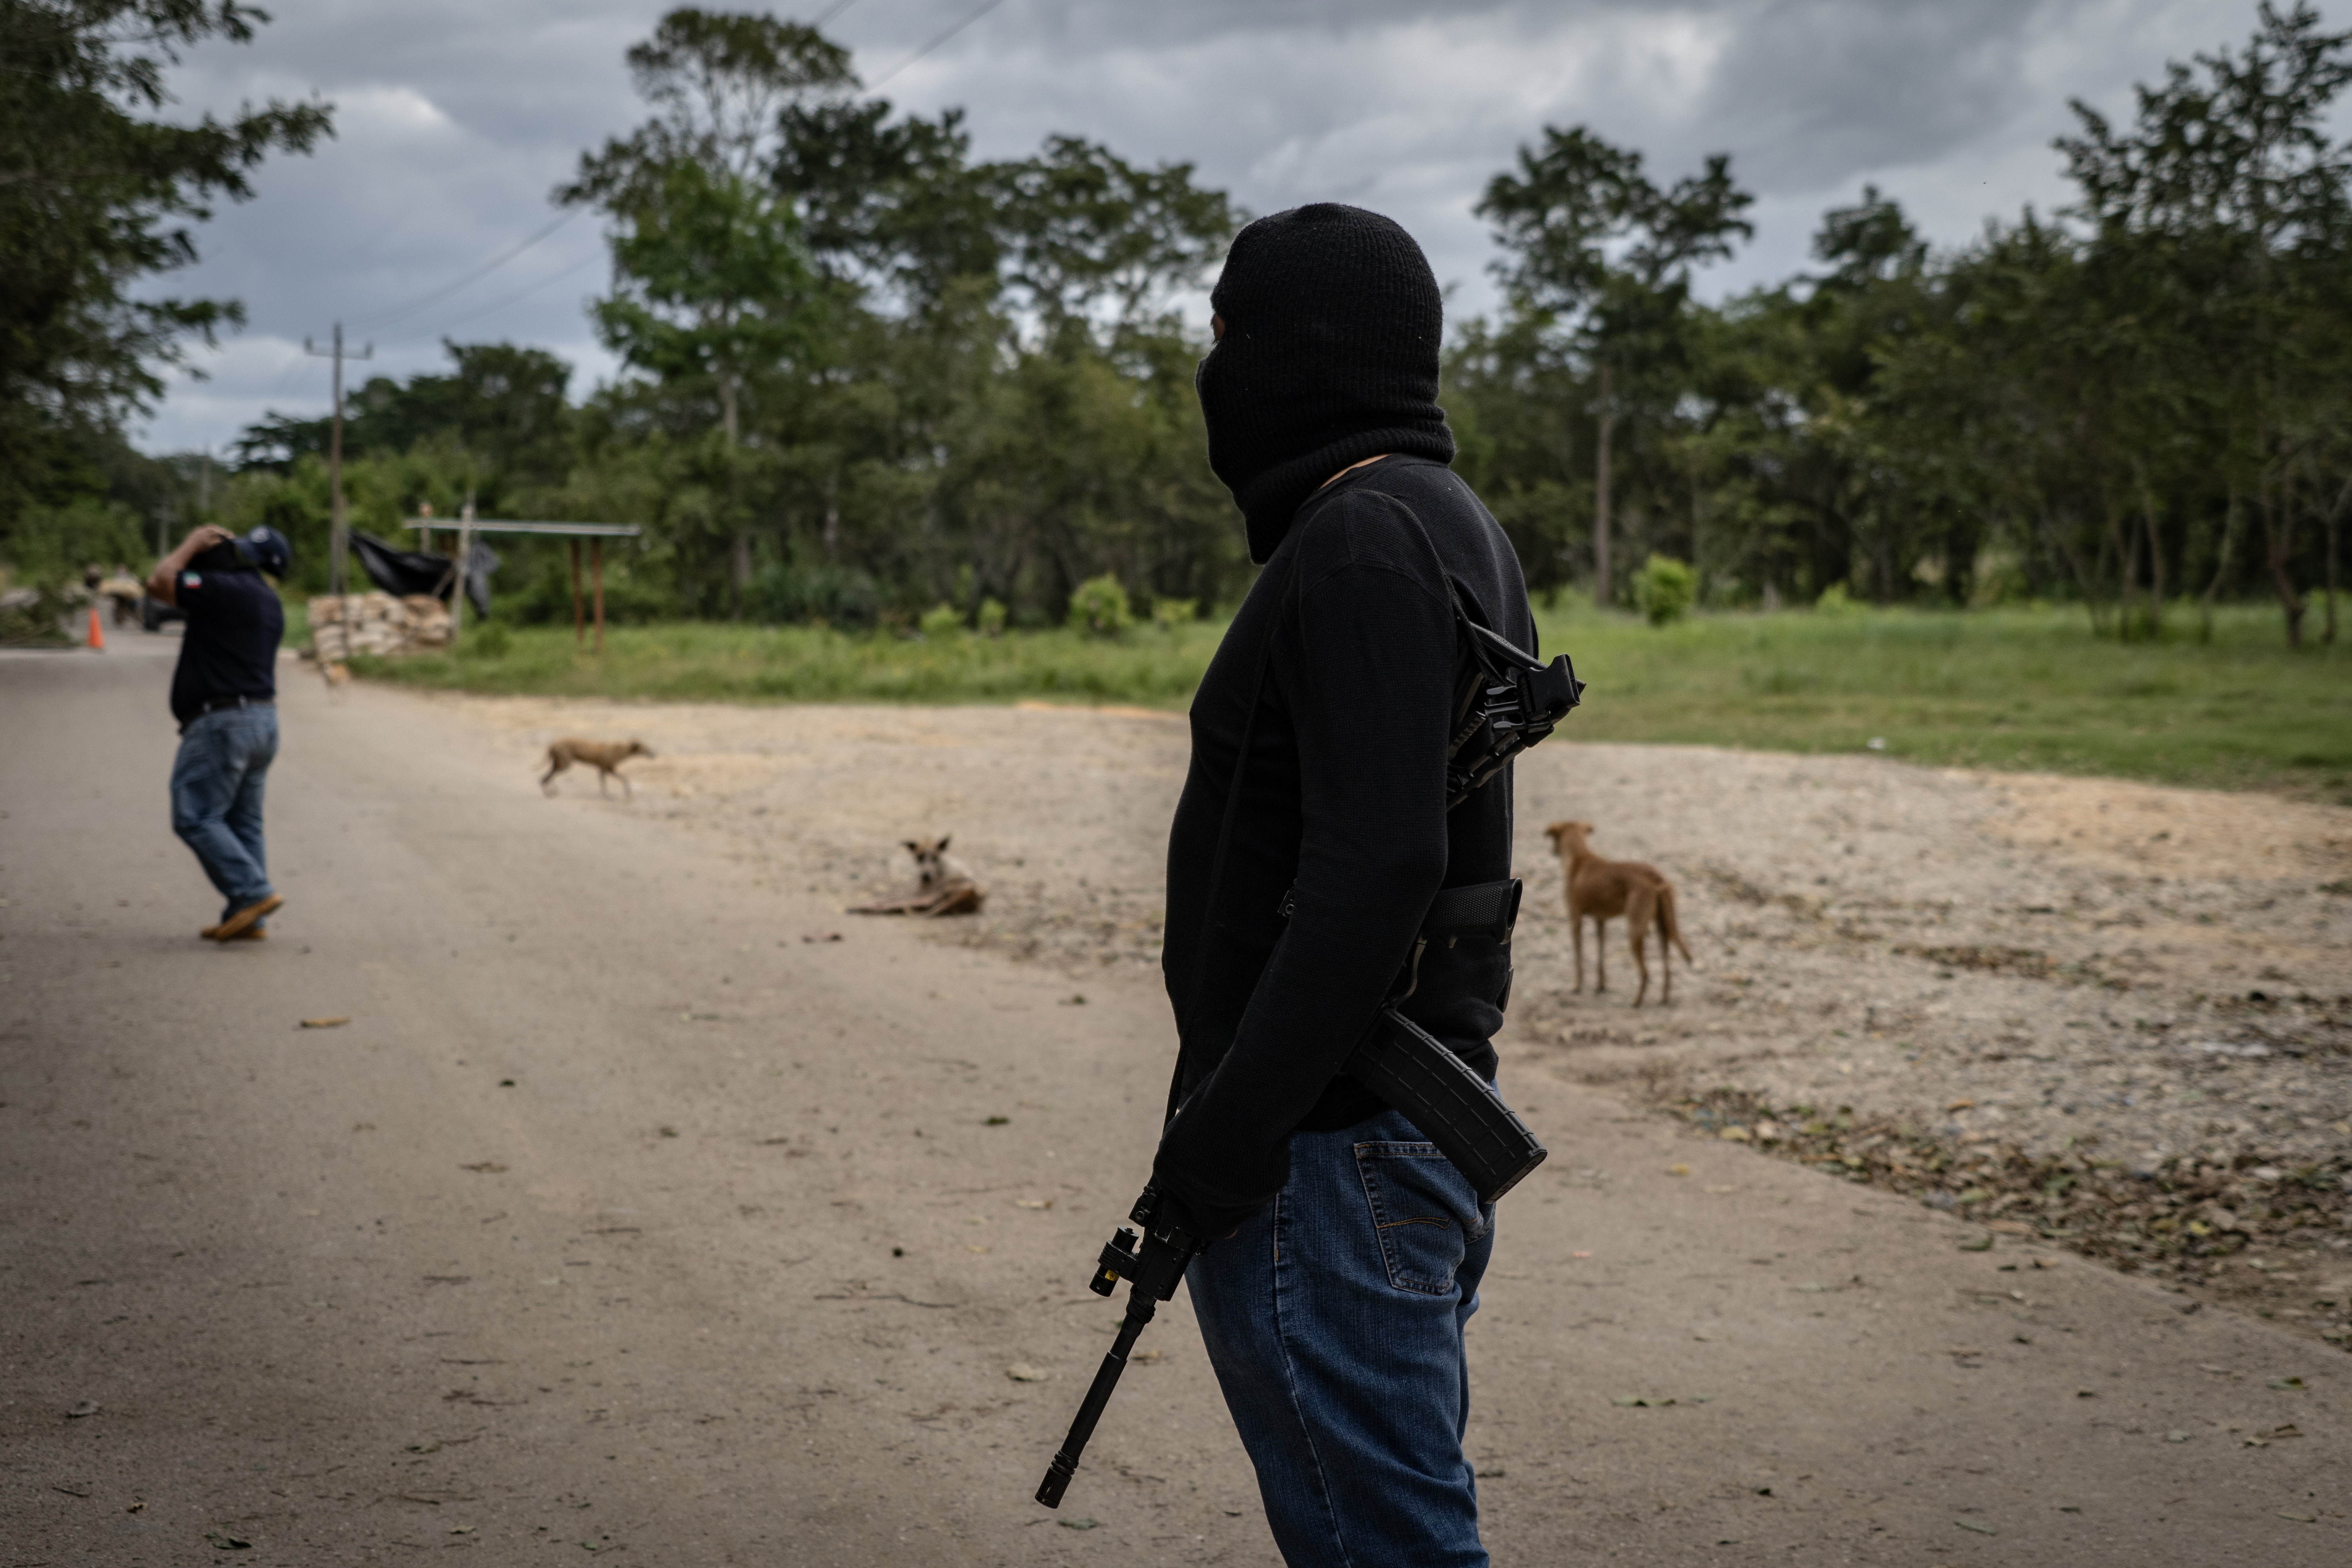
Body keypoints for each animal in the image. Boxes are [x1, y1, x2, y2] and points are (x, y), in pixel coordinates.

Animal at [539, 738, 654, 799]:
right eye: (646, 749)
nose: (654, 753)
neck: (620, 752)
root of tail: (552, 745)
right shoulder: (606, 768)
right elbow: (606, 782)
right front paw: (608, 796)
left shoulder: (607, 768)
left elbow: (623, 777)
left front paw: (627, 792)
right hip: (565, 763)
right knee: (545, 777)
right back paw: (549, 793)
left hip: (560, 763)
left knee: (547, 776)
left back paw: (553, 791)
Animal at [847, 832, 983, 921]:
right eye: (920, 857)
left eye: (935, 857)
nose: (926, 876)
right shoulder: (917, 895)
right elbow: (890, 896)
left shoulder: (921, 896)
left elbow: (891, 899)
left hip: (929, 899)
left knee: (894, 904)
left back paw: (859, 908)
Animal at [1543, 822, 1693, 1006]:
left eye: (1553, 838)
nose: (1551, 851)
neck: (1579, 856)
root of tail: (1655, 876)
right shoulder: (1600, 921)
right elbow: (1600, 959)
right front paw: (1601, 986)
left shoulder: (1575, 919)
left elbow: (1579, 960)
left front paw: (1577, 987)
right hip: (1662, 930)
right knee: (1667, 970)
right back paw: (1663, 1000)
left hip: (1635, 932)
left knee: (1646, 973)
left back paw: (1636, 1002)